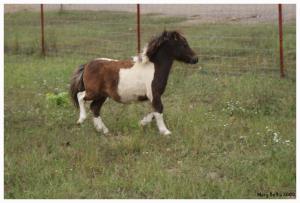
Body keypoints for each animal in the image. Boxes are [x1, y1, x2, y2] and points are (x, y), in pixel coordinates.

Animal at [69, 30, 198, 135]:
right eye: (183, 44)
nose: (195, 59)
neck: (154, 67)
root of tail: (87, 65)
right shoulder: (154, 94)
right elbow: (159, 109)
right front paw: (165, 131)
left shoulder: (153, 96)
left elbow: (154, 111)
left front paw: (142, 123)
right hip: (94, 92)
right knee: (80, 96)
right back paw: (81, 119)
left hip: (102, 95)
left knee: (95, 108)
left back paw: (103, 130)